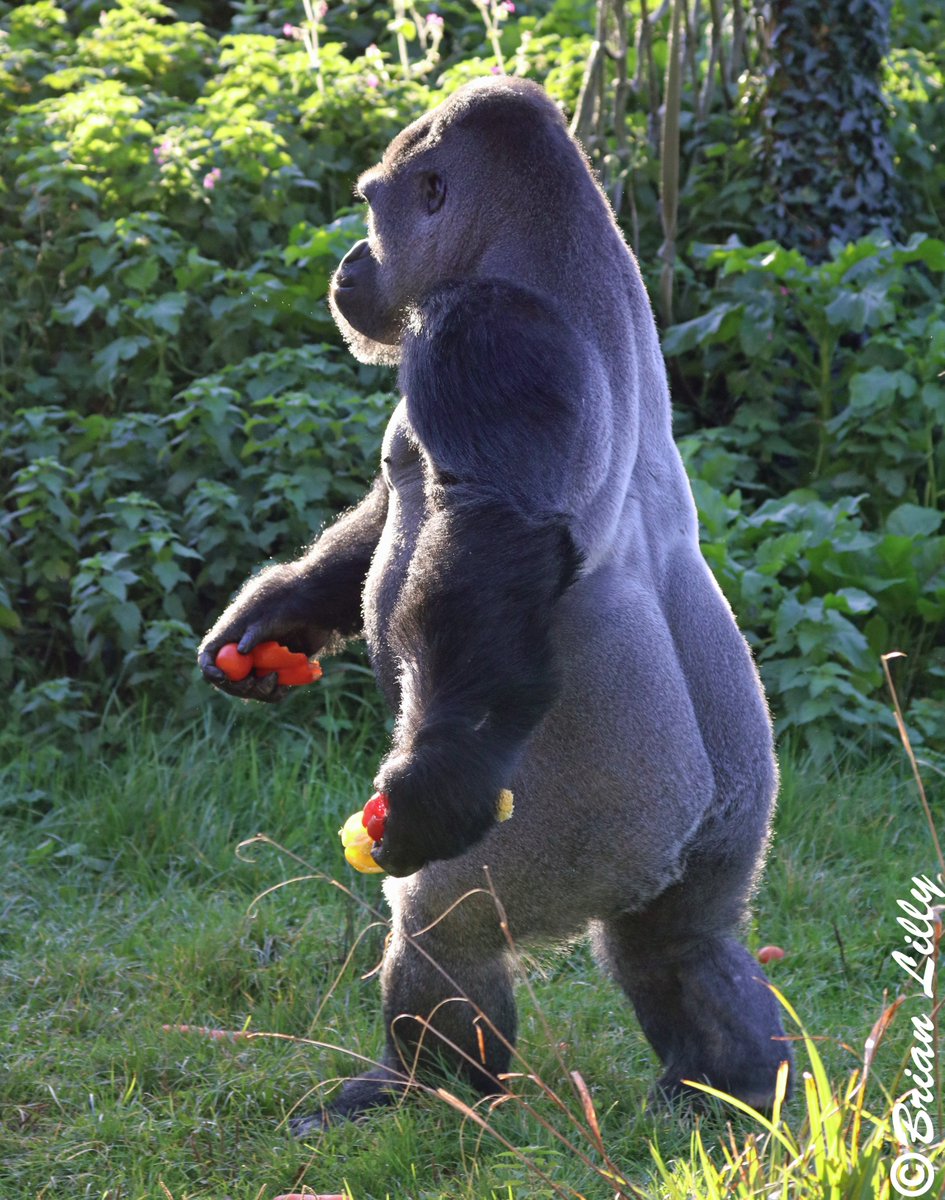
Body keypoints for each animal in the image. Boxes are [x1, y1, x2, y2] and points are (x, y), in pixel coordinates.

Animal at [198, 75, 790, 1129]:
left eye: (371, 206)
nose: (350, 261)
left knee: (449, 922)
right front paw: (274, 619)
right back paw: (736, 1087)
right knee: (680, 940)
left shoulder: (481, 333)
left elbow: (489, 532)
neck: (539, 243)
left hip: (591, 823)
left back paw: (420, 1088)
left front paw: (435, 777)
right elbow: (388, 520)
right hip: (728, 817)